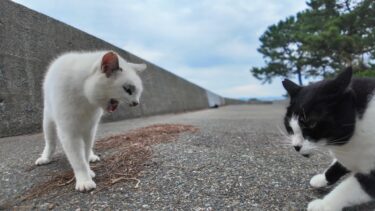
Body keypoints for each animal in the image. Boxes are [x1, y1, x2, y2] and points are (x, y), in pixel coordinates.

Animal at [284, 67, 375, 210]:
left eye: (311, 124)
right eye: (289, 125)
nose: (296, 146)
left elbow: (347, 189)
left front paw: (323, 205)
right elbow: (338, 165)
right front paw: (322, 178)